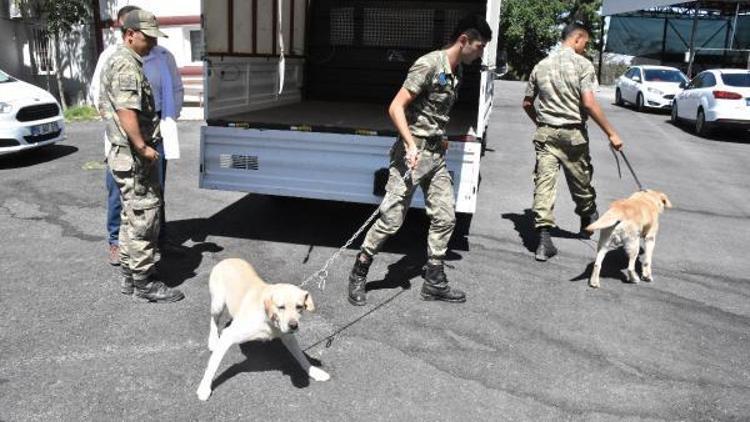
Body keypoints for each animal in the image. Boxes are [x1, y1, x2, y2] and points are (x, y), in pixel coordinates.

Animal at [198, 258, 330, 400]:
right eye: (281, 307)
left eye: (299, 307)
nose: (293, 325)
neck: (268, 319)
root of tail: (228, 259)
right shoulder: (229, 335)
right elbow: (213, 364)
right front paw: (204, 387)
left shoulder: (288, 337)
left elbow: (301, 356)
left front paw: (313, 371)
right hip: (218, 303)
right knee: (213, 320)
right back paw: (213, 340)